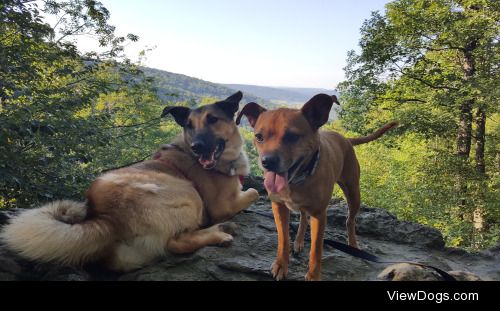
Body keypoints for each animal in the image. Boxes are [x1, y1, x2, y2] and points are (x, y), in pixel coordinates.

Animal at [0, 91, 258, 272]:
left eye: (213, 119)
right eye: (188, 126)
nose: (197, 146)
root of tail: (106, 218)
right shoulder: (223, 205)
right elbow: (253, 192)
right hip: (187, 192)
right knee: (175, 242)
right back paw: (219, 232)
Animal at [236, 94, 396, 282]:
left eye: (292, 136)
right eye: (259, 136)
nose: (267, 161)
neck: (298, 179)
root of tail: (345, 139)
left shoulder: (319, 215)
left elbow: (316, 250)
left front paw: (313, 275)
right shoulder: (279, 206)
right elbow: (283, 239)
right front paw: (281, 264)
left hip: (353, 191)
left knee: (350, 220)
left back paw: (352, 245)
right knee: (303, 217)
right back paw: (298, 241)